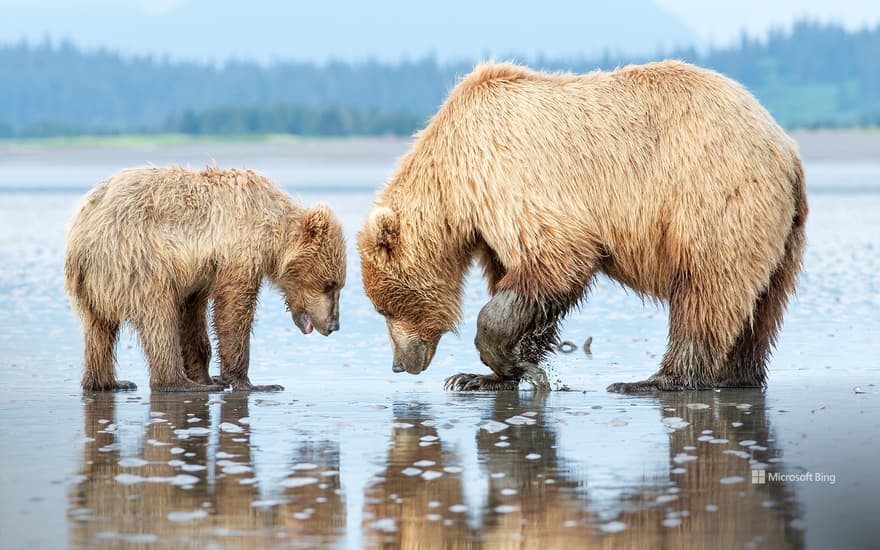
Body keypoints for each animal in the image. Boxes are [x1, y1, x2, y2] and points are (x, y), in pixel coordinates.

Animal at [356, 62, 804, 394]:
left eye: (384, 308)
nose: (399, 364)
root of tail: (786, 147)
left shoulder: (508, 175)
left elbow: (556, 259)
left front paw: (500, 360)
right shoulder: (490, 227)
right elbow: (520, 284)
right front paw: (484, 375)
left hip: (711, 195)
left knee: (705, 289)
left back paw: (655, 380)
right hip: (780, 235)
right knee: (760, 307)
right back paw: (739, 375)